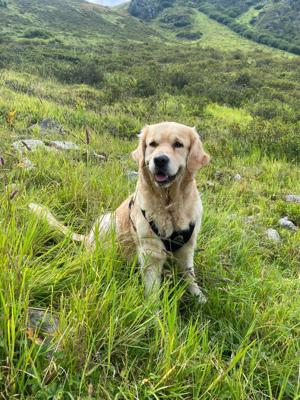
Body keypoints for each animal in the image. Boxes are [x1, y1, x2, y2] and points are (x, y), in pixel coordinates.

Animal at [29, 122, 209, 304]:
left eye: (178, 144)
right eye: (152, 144)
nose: (159, 160)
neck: (168, 203)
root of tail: (87, 238)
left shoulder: (187, 246)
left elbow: (189, 275)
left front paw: (198, 297)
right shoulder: (150, 251)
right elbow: (152, 289)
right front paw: (153, 309)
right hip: (107, 220)